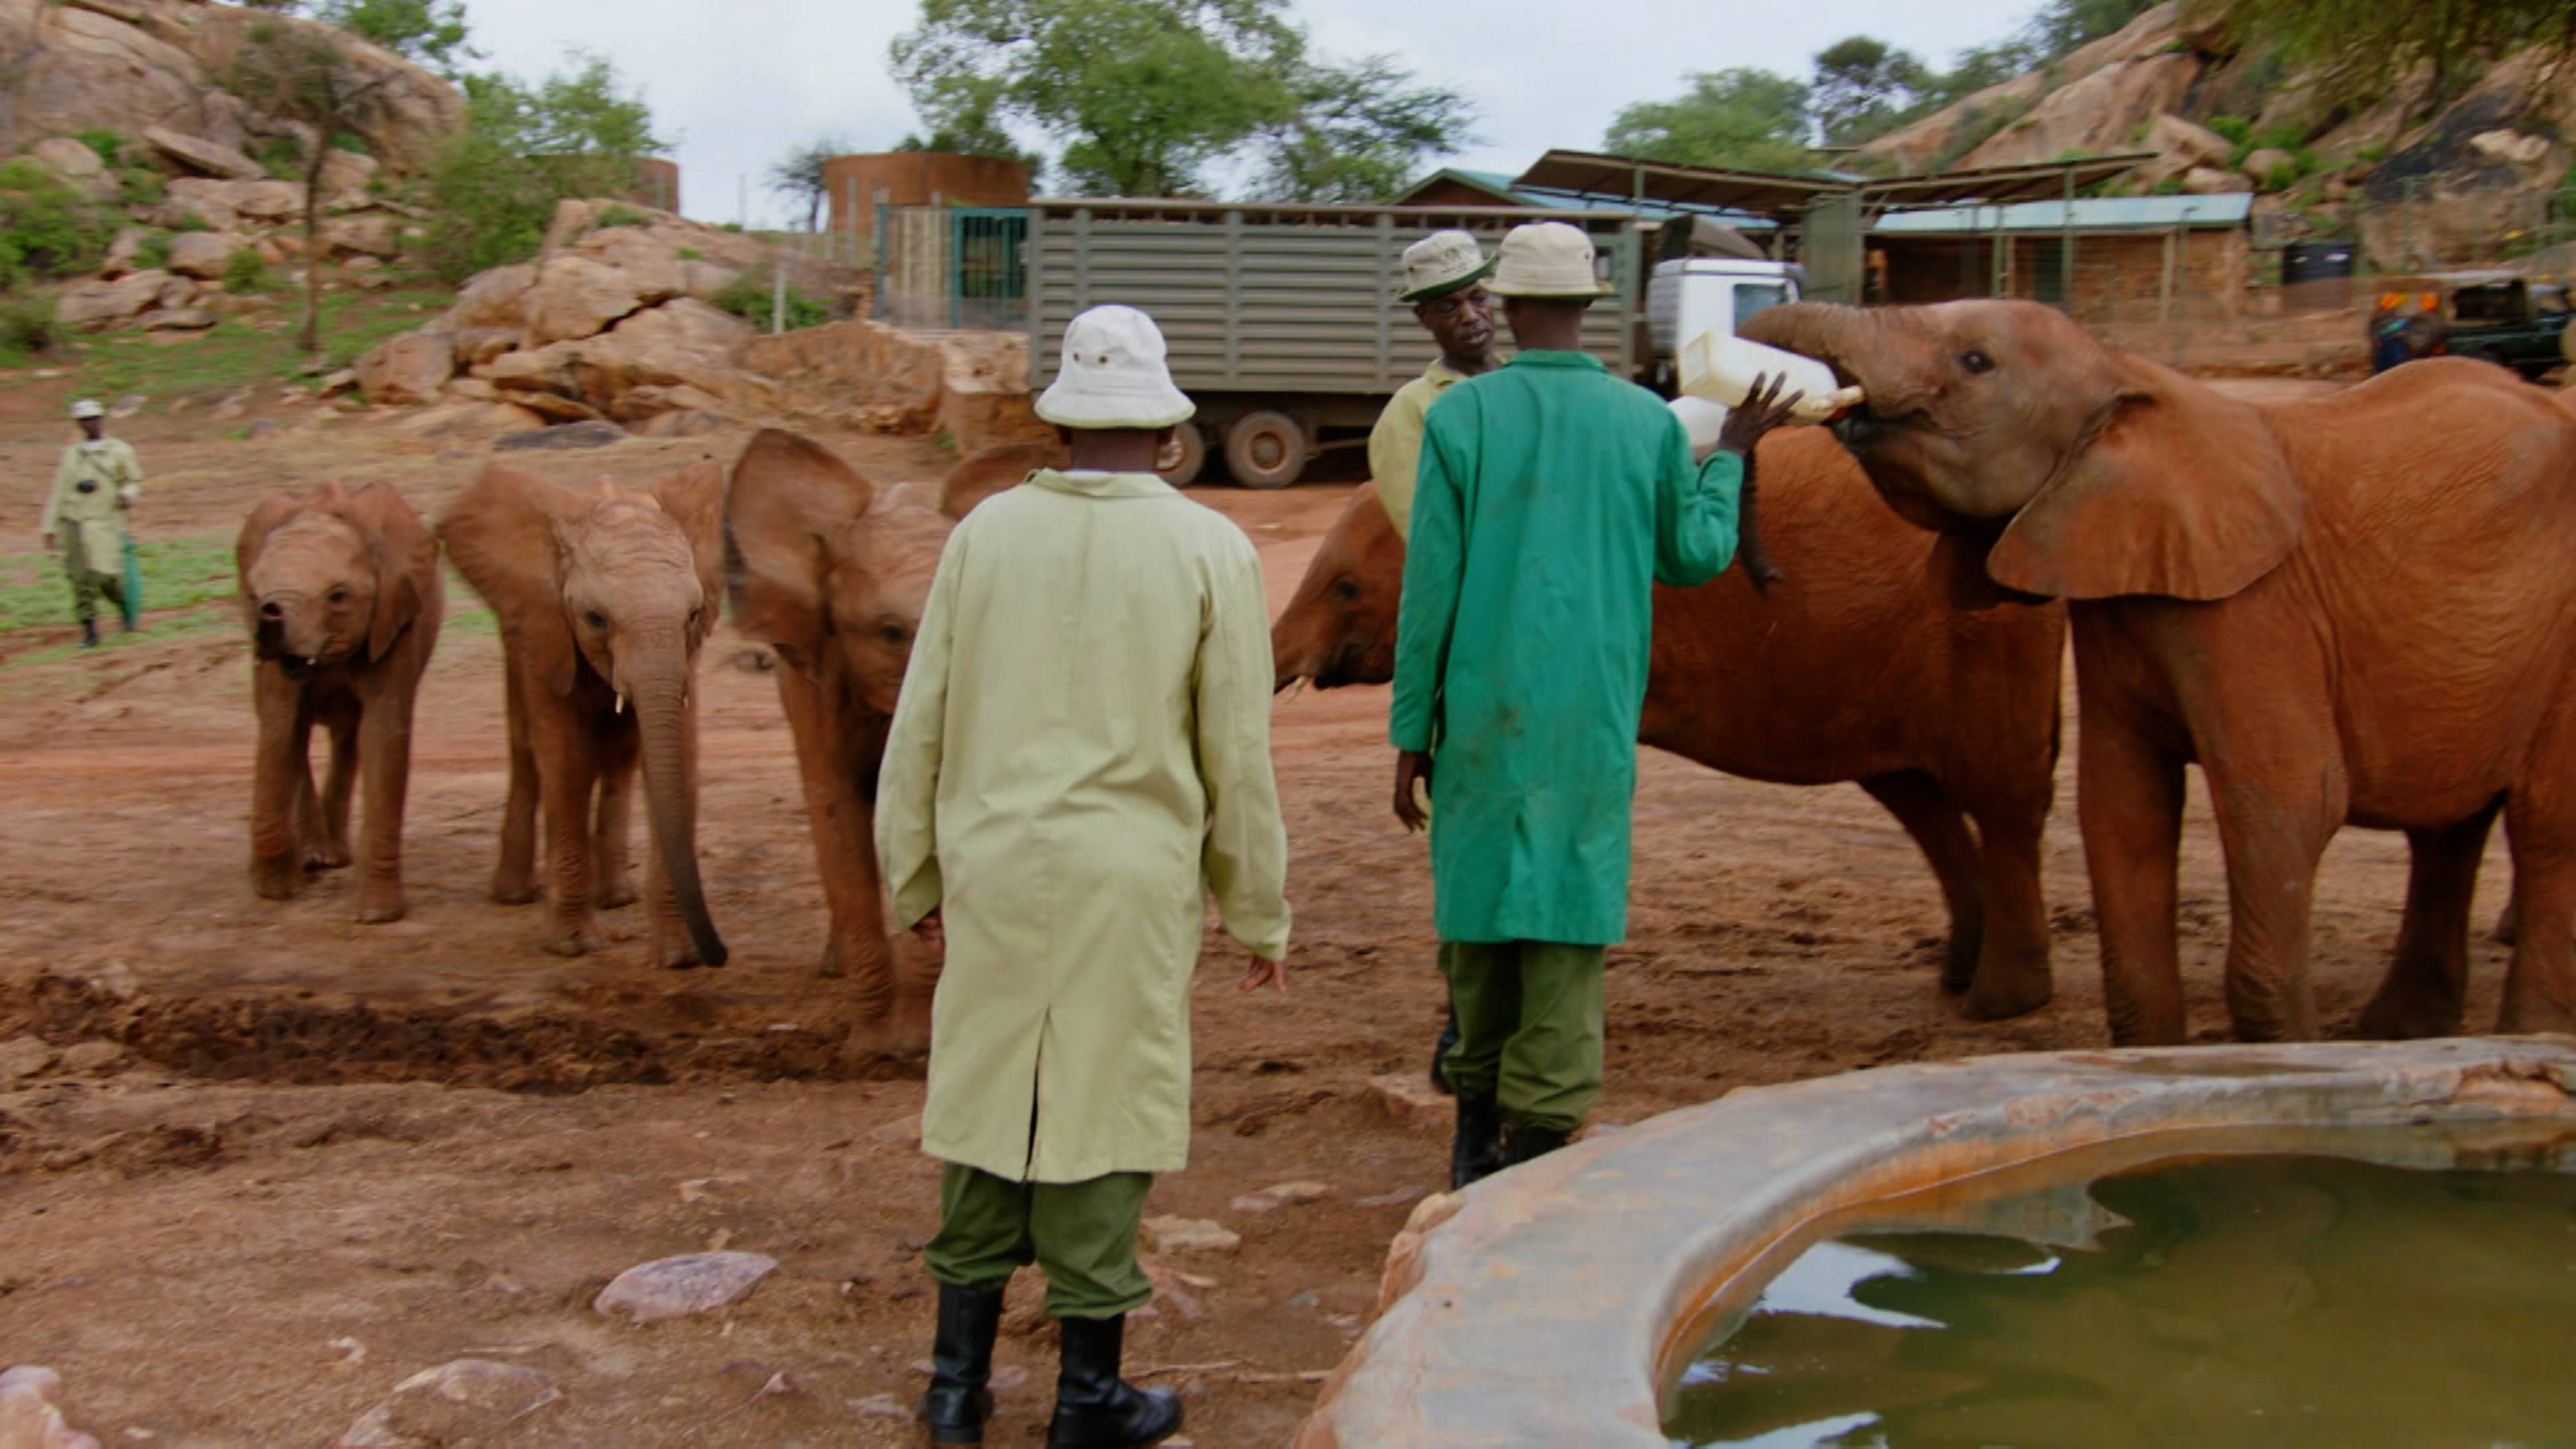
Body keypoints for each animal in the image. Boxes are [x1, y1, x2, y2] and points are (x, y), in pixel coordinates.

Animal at [235, 481, 443, 922]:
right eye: (253, 593)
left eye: (338, 596)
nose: (268, 613)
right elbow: (280, 724)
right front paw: (274, 893)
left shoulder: (394, 618)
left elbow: (383, 732)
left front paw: (375, 916)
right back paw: (317, 859)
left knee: (348, 735)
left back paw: (332, 858)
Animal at [437, 461, 730, 969]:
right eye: (594, 618)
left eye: (694, 614)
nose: (721, 953)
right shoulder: (545, 627)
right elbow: (566, 763)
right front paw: (572, 946)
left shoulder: (685, 655)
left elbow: (679, 761)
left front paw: (678, 957)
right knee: (527, 749)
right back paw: (515, 896)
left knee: (618, 758)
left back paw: (615, 898)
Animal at [1272, 425, 2068, 1020]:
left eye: (1346, 590)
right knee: (1921, 800)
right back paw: (1961, 977)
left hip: (1985, 635)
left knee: (2000, 802)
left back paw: (2000, 1004)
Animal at [1743, 298, 2576, 1042]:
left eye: (1976, 361)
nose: (1770, 395)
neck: (2128, 374)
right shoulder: (2122, 596)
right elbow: (2122, 807)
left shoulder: (2256, 608)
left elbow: (2287, 800)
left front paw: (2285, 1062)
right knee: (2450, 825)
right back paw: (2401, 1034)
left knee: (2542, 825)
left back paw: (2527, 1037)